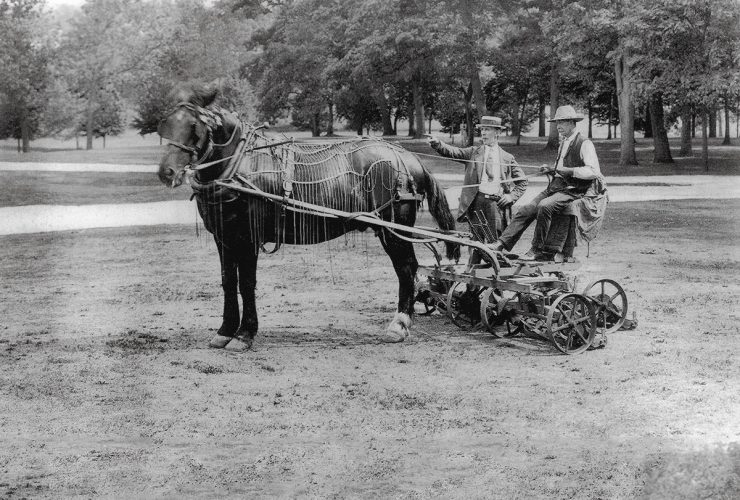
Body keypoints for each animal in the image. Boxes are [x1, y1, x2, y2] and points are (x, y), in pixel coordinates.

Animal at [156, 83, 456, 348]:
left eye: (194, 127)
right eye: (165, 125)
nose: (166, 172)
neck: (240, 163)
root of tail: (408, 157)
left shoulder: (249, 237)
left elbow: (247, 282)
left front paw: (244, 334)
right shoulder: (224, 237)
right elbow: (229, 281)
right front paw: (225, 331)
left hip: (395, 228)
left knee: (406, 268)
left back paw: (399, 324)